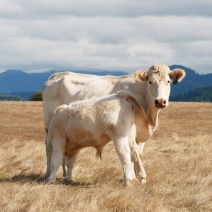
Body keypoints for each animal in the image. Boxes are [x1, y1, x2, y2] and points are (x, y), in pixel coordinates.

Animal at [42, 63, 186, 178]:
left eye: (168, 81)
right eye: (150, 82)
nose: (160, 101)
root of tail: (56, 76)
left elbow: (136, 154)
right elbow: (130, 154)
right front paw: (133, 176)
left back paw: (65, 174)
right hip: (50, 124)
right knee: (50, 148)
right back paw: (49, 174)